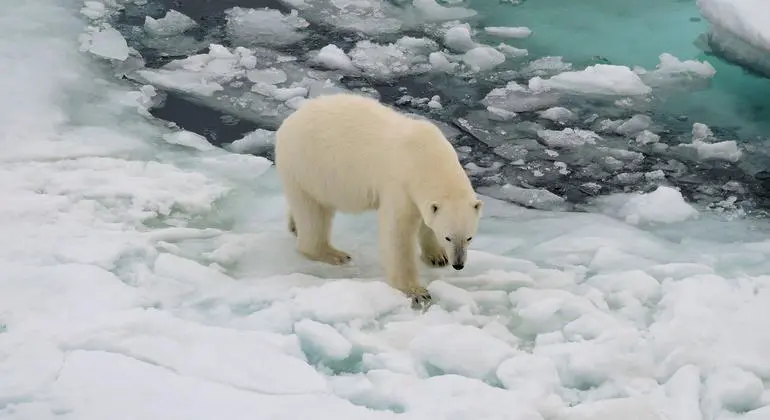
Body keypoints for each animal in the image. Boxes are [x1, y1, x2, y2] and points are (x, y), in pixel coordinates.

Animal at [274, 93, 482, 307]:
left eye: (469, 237)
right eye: (448, 237)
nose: (458, 264)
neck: (426, 156)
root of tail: (288, 123)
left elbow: (426, 221)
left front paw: (437, 256)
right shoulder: (398, 184)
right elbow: (398, 233)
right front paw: (417, 291)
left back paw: (294, 225)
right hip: (308, 165)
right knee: (313, 213)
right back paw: (334, 254)